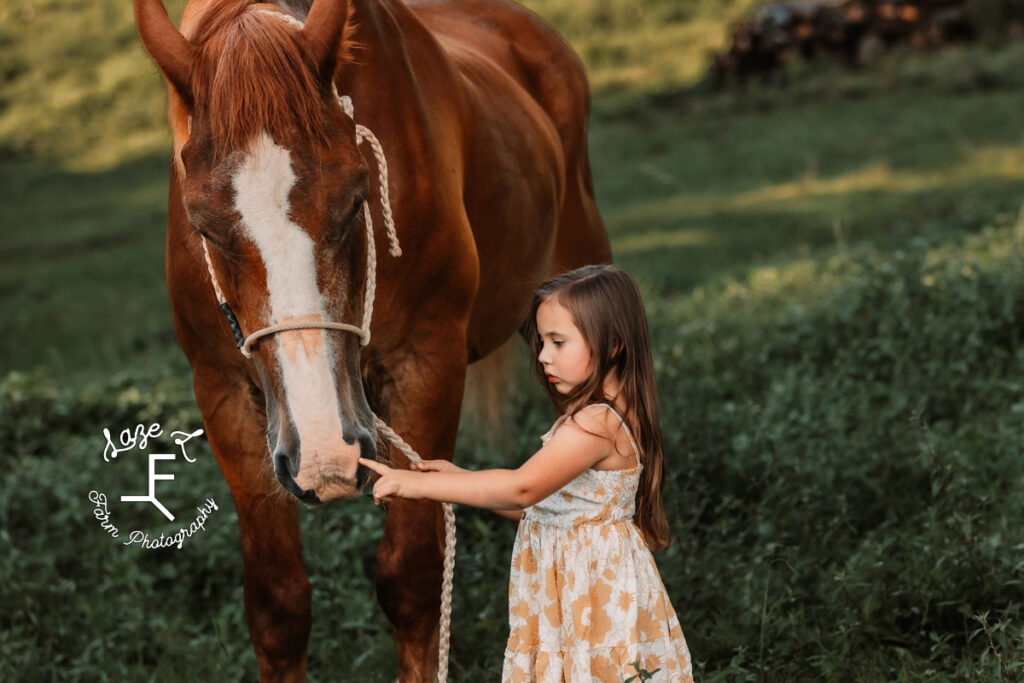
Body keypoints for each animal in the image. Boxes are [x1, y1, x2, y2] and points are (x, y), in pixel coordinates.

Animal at [128, 0, 606, 679]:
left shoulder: (425, 364)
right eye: (204, 226)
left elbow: (411, 579)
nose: (325, 455)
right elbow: (277, 606)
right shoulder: (223, 394)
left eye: (358, 201)